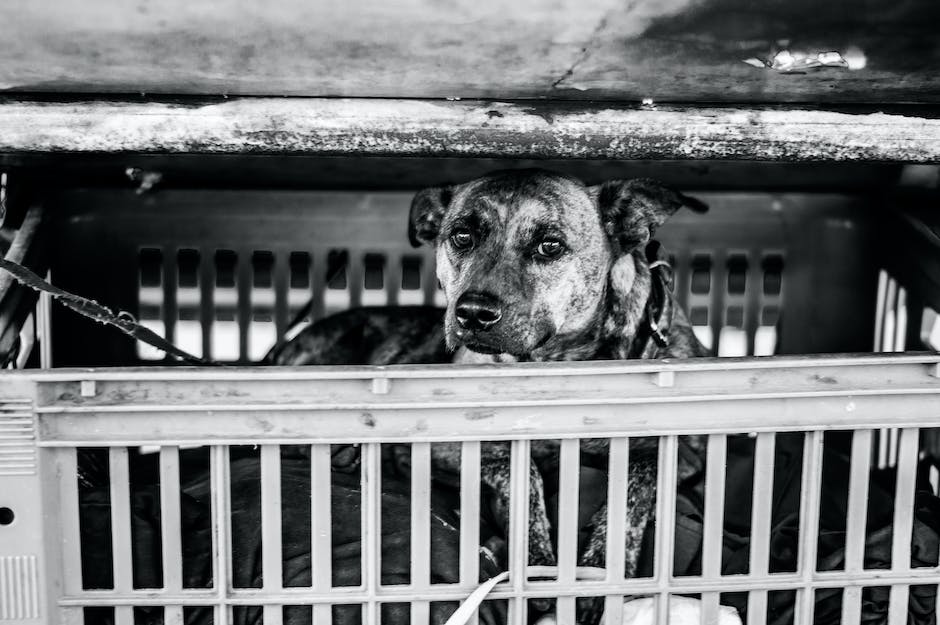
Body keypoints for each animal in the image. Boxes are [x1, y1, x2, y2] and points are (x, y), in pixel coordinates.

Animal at [276, 168, 708, 620]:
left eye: (550, 245)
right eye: (462, 236)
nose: (473, 313)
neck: (559, 363)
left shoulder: (687, 451)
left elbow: (639, 474)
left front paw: (599, 568)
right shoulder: (438, 445)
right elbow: (521, 469)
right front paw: (537, 559)